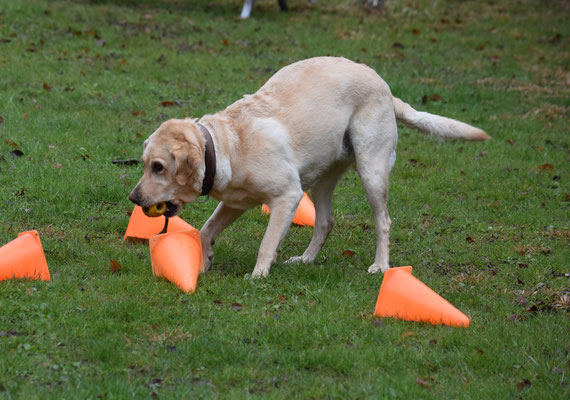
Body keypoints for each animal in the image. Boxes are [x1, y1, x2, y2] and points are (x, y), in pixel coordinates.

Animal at [130, 57, 488, 278]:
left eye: (158, 167)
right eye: (145, 164)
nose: (133, 198)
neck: (225, 145)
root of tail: (385, 88)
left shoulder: (287, 196)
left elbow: (267, 243)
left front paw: (258, 275)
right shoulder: (235, 202)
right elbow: (206, 229)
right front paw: (204, 261)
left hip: (371, 171)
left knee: (383, 221)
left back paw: (380, 266)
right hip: (321, 180)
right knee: (326, 221)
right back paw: (305, 260)